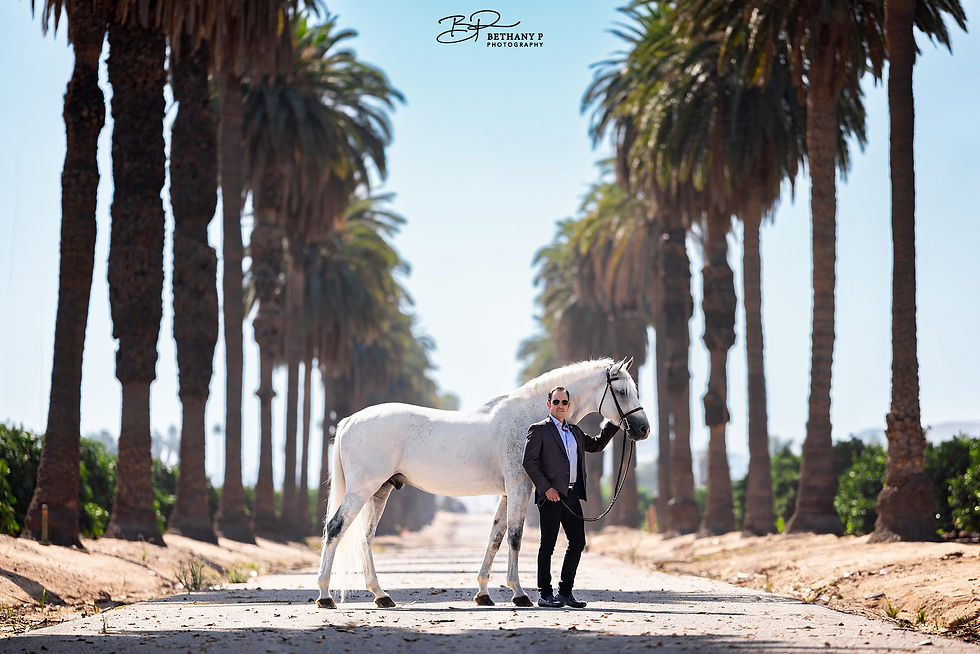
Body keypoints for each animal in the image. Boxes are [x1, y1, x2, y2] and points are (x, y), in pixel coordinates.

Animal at [315, 356, 651, 609]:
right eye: (622, 392)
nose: (643, 429)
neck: (529, 418)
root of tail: (349, 420)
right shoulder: (519, 488)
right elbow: (515, 537)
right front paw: (519, 594)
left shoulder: (506, 494)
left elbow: (495, 538)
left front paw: (483, 594)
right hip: (362, 489)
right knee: (335, 529)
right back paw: (325, 596)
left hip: (380, 490)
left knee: (365, 538)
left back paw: (381, 595)